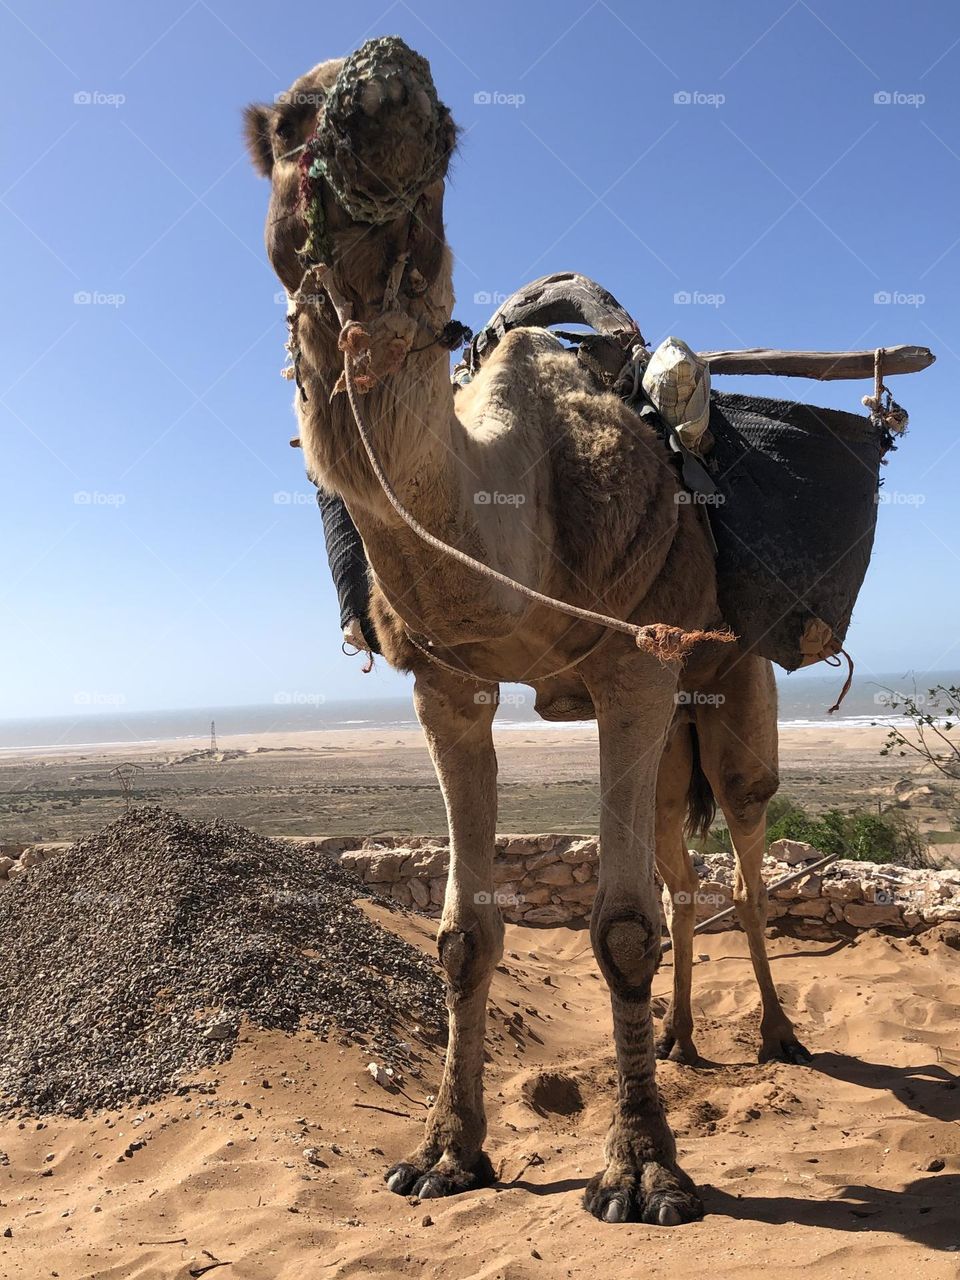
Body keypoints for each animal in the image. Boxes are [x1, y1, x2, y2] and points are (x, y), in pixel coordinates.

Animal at [244, 35, 808, 1223]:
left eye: (449, 132)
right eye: (293, 121)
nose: (389, 78)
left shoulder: (634, 668)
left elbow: (621, 925)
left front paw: (642, 1175)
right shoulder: (447, 683)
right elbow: (465, 931)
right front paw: (443, 1156)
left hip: (730, 693)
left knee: (739, 844)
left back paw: (781, 1036)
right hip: (672, 741)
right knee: (681, 866)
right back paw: (682, 1041)